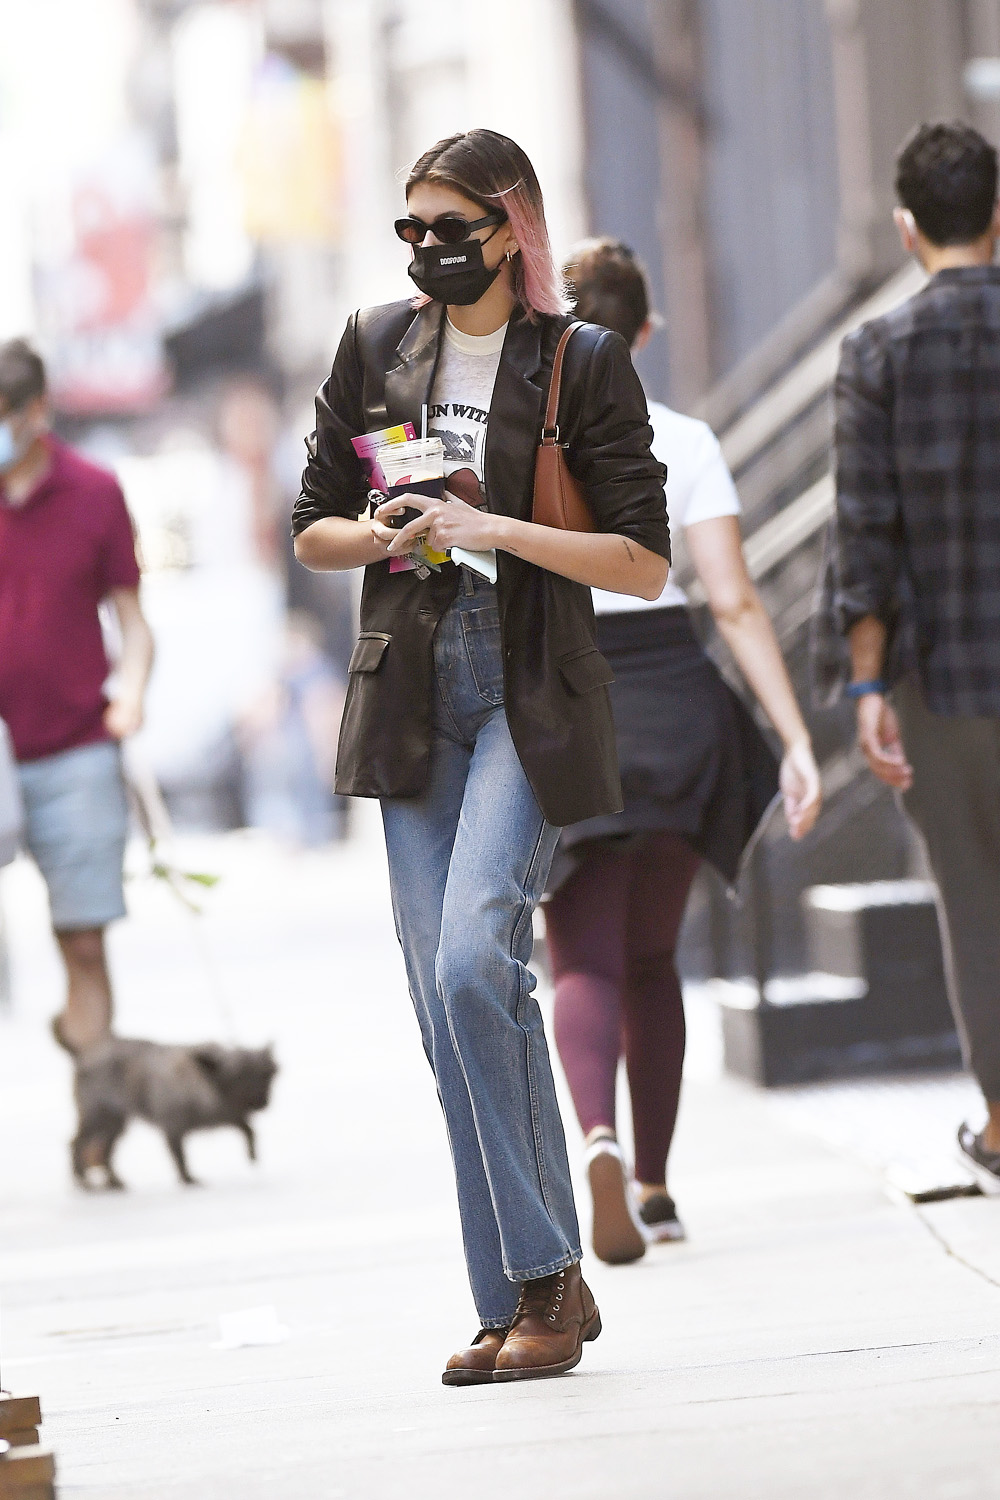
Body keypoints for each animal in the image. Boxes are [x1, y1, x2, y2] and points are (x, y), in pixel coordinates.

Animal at [71, 1038, 277, 1188]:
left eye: (266, 1075)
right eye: (239, 1077)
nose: (263, 1102)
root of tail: (84, 1058)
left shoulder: (227, 1117)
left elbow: (248, 1129)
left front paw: (252, 1155)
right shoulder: (173, 1130)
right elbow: (180, 1157)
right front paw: (187, 1179)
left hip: (115, 1125)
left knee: (106, 1151)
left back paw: (114, 1181)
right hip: (96, 1119)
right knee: (76, 1143)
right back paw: (82, 1180)